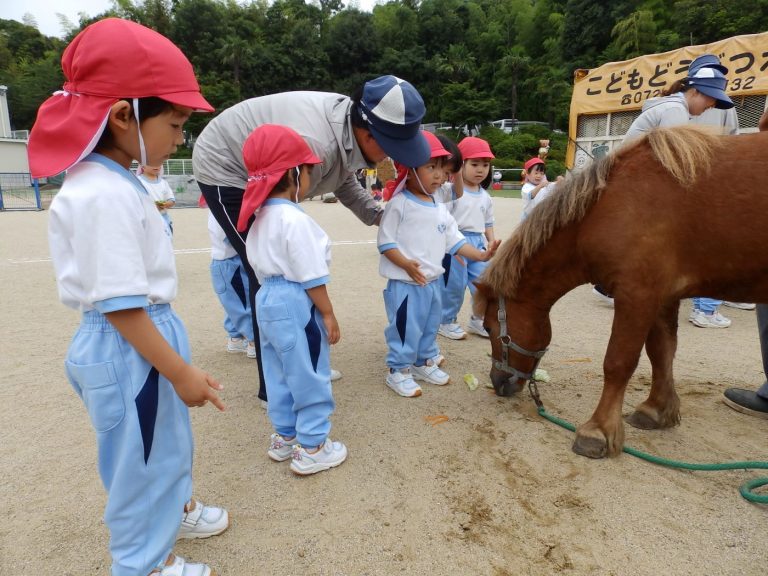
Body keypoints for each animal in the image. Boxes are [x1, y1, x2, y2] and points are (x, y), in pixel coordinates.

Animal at [476, 126, 768, 460]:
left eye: (489, 327)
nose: (497, 381)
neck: (609, 206)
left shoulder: (637, 293)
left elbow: (619, 361)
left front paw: (598, 431)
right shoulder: (662, 296)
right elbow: (662, 352)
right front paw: (657, 410)